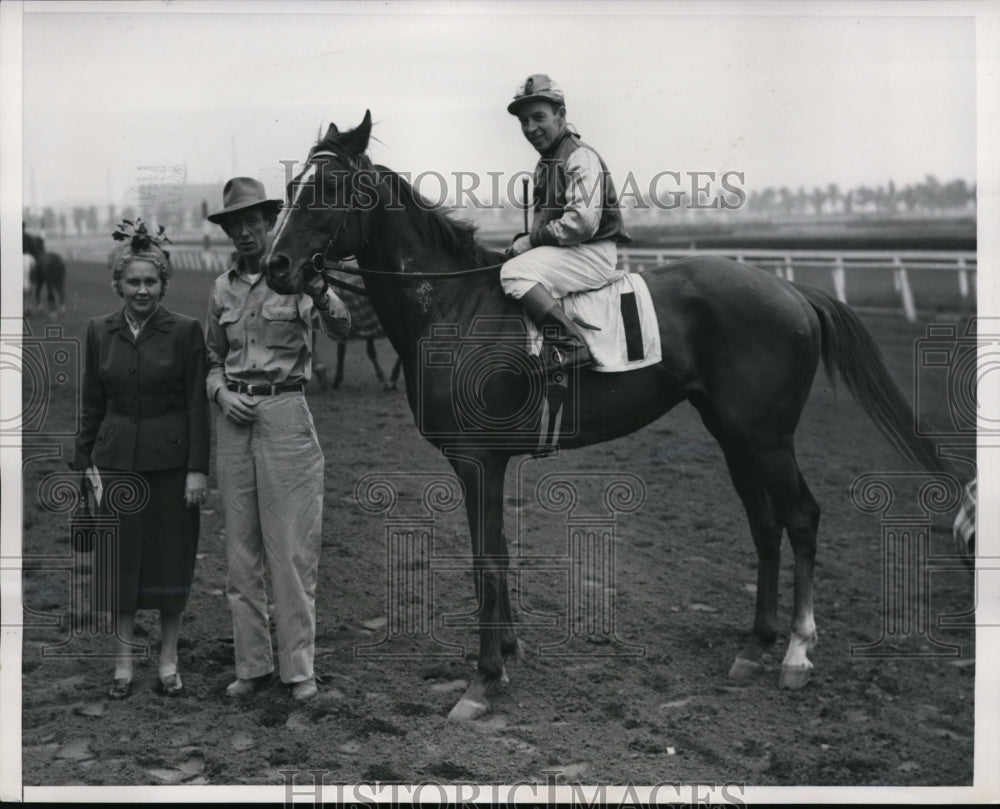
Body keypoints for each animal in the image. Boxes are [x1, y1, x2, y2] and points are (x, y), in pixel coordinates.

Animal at [262, 112, 948, 720]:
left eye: (327, 188)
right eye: (292, 187)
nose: (275, 266)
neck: (453, 306)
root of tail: (792, 291)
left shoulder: (475, 458)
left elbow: (487, 560)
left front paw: (483, 681)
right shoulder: (486, 460)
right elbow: (499, 554)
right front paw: (507, 653)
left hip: (768, 437)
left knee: (801, 517)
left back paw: (797, 655)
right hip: (735, 436)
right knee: (765, 525)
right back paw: (753, 648)